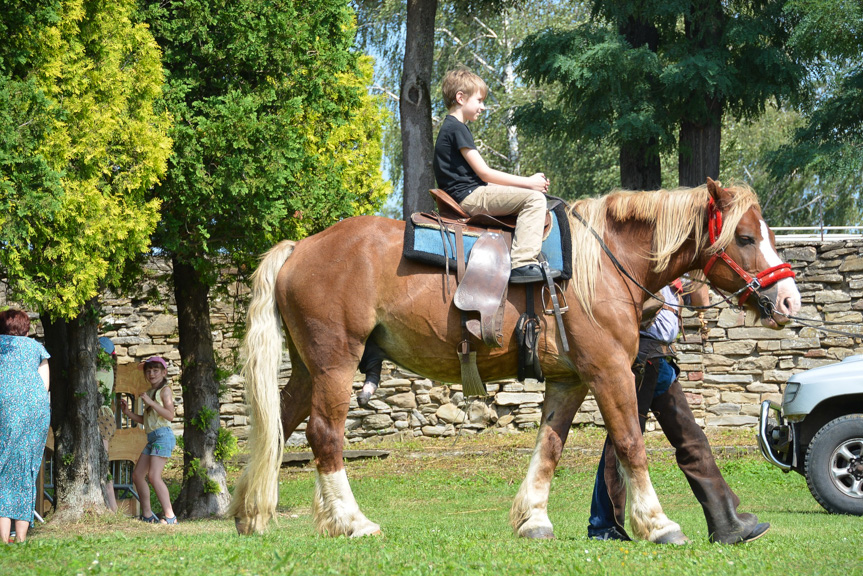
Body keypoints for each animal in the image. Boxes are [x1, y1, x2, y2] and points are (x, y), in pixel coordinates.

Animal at [226, 178, 800, 544]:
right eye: (745, 237)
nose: (791, 300)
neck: (604, 261)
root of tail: (300, 247)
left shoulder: (569, 380)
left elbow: (549, 447)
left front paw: (533, 519)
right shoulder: (609, 372)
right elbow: (632, 444)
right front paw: (658, 524)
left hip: (308, 369)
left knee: (280, 425)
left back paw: (252, 513)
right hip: (335, 363)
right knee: (324, 434)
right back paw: (352, 521)